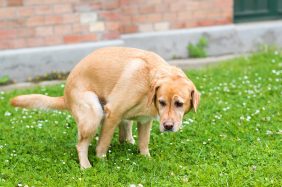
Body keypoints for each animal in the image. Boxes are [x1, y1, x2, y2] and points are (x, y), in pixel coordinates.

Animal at [10, 46, 200, 168]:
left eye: (179, 104)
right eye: (162, 102)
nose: (168, 126)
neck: (149, 83)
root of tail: (65, 96)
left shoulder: (145, 121)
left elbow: (144, 143)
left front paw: (147, 159)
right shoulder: (112, 112)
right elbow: (102, 144)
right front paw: (101, 162)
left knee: (125, 131)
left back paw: (127, 142)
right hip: (93, 112)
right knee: (81, 145)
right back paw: (86, 166)